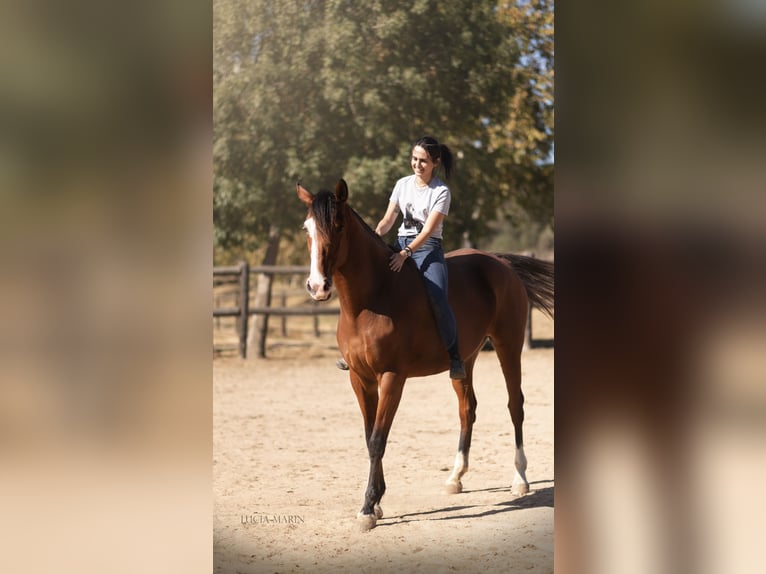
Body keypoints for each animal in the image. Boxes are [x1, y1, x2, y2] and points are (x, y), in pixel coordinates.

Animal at [297, 179, 554, 531]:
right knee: (467, 409)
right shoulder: (360, 378)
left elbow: (378, 440)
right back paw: (456, 477)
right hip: (465, 360)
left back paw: (520, 479)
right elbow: (368, 436)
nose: (318, 286)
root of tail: (500, 263)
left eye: (338, 226)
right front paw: (377, 502)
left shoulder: (392, 378)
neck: (373, 298)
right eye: (307, 228)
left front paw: (368, 508)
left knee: (515, 406)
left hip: (509, 346)